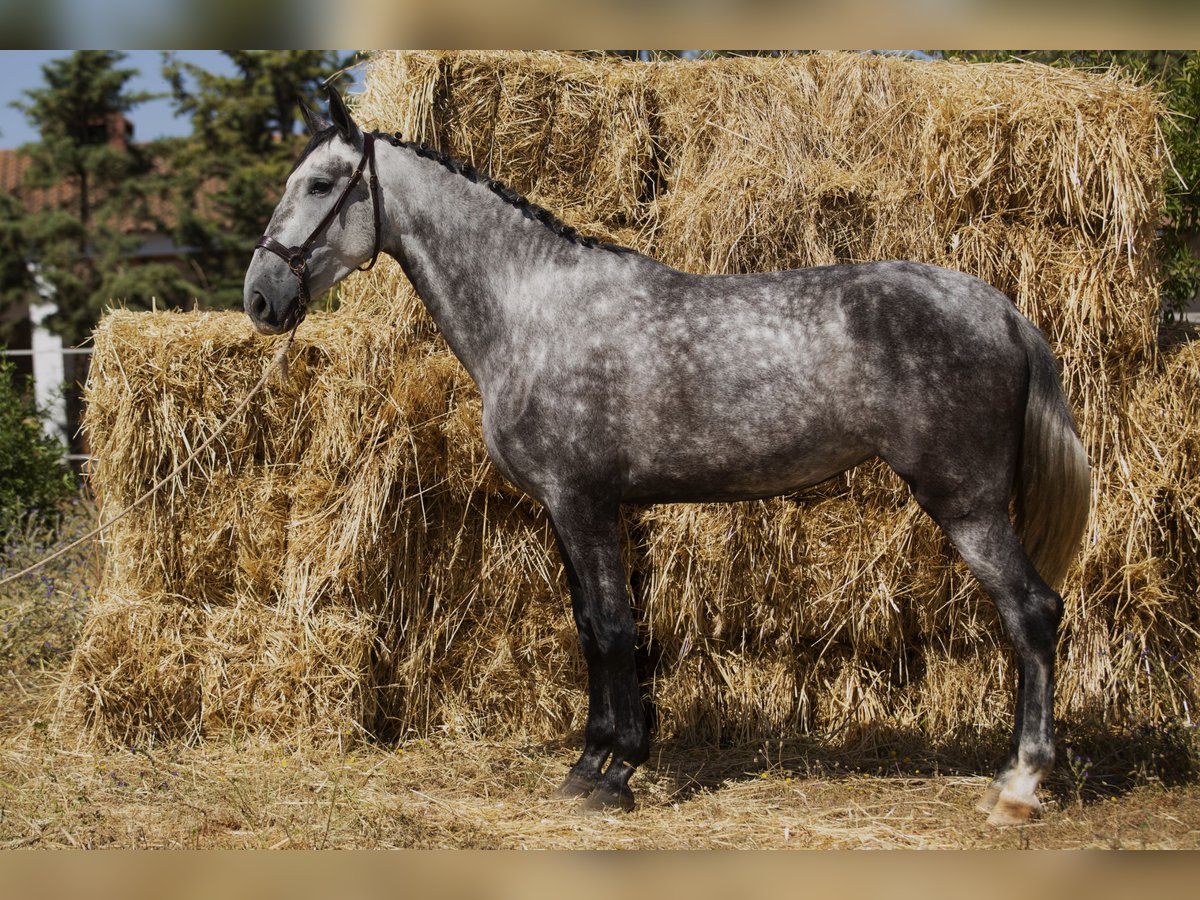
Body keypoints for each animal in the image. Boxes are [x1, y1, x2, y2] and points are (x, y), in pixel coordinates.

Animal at [241, 88, 1089, 830]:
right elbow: (592, 627)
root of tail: (1003, 310)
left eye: (321, 183)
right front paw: (590, 764)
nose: (260, 297)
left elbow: (615, 630)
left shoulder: (583, 502)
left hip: (966, 503)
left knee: (1034, 611)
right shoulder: (569, 510)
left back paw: (1018, 788)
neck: (534, 308)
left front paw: (615, 774)